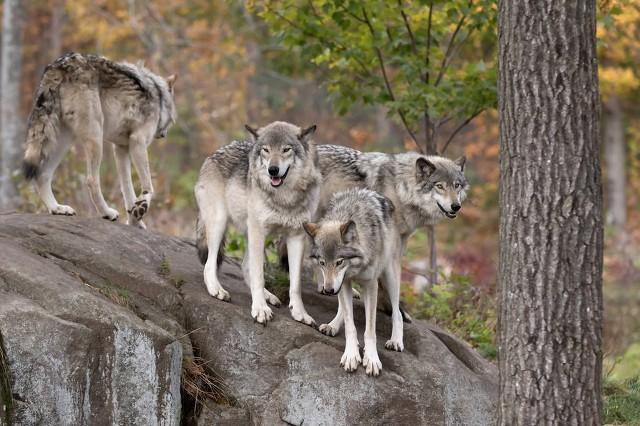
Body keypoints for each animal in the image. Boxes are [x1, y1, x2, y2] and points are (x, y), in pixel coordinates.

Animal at [22, 52, 176, 230]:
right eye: (172, 121)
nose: (164, 135)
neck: (159, 96)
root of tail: (59, 65)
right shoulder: (138, 142)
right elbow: (148, 186)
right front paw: (141, 207)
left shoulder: (121, 149)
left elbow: (127, 190)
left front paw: (135, 221)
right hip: (95, 138)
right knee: (91, 181)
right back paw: (107, 213)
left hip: (63, 141)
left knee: (43, 174)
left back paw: (57, 208)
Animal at [195, 121, 322, 324]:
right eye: (266, 150)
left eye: (286, 149)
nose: (273, 170)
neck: (285, 198)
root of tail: (213, 154)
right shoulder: (258, 231)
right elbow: (259, 276)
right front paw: (260, 309)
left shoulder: (296, 237)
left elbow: (295, 284)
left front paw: (299, 313)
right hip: (221, 223)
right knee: (210, 264)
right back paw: (216, 289)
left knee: (245, 266)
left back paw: (268, 296)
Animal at [304, 188, 400, 374]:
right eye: (322, 263)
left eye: (339, 262)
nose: (328, 291)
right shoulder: (344, 283)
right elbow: (350, 325)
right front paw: (351, 355)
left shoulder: (370, 285)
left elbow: (370, 330)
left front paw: (371, 358)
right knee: (343, 309)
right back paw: (333, 325)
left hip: (390, 275)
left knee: (397, 312)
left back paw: (396, 340)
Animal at [312, 145, 468, 352]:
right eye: (440, 186)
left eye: (456, 185)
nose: (456, 206)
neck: (400, 189)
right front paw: (336, 323)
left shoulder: (397, 243)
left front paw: (392, 310)